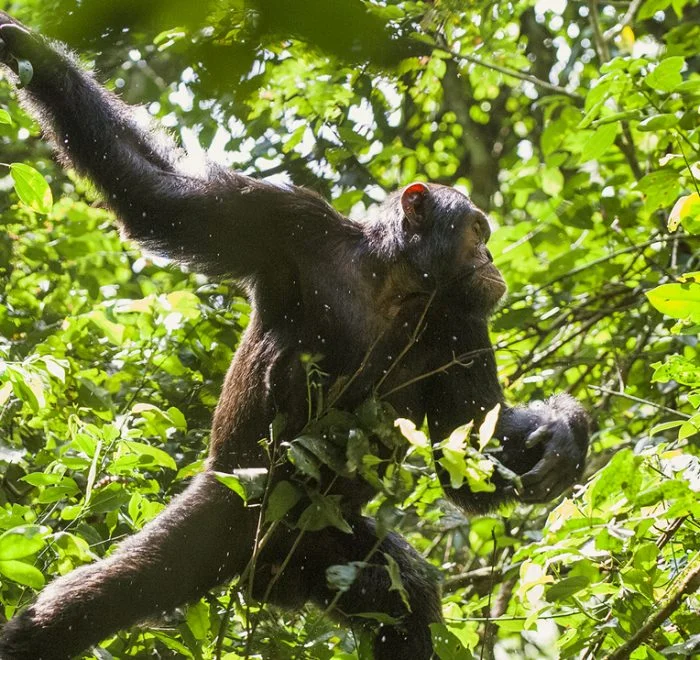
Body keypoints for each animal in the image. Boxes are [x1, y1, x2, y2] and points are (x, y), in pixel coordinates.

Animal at [0, 14, 589, 659]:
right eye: (477, 230)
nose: (490, 258)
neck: (394, 281)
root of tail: (262, 575)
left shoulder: (463, 320)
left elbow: (467, 446)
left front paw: (563, 433)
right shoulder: (285, 220)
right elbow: (161, 195)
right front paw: (28, 51)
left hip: (326, 542)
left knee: (402, 600)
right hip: (219, 516)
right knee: (91, 601)